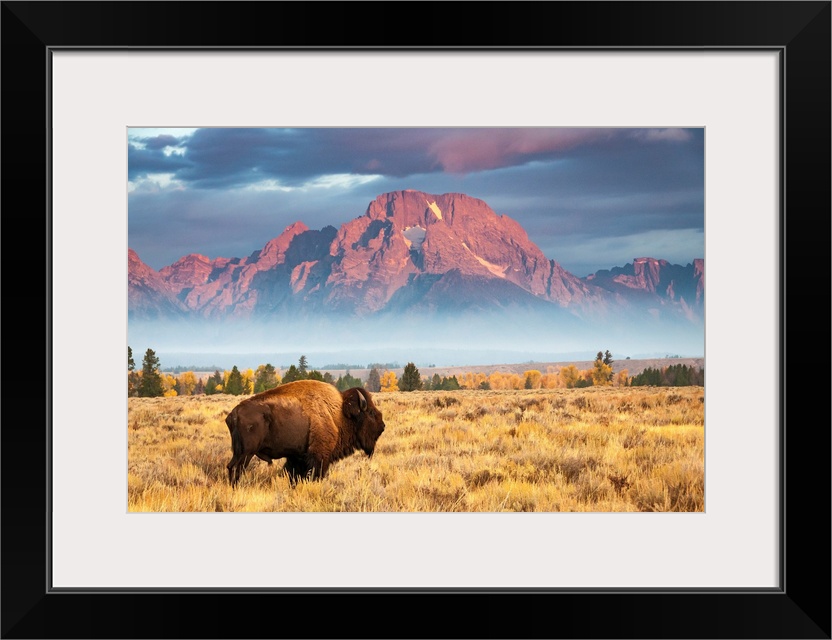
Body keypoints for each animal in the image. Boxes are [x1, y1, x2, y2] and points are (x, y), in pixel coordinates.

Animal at [224, 380, 386, 484]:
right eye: (371, 413)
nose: (382, 426)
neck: (339, 413)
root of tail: (234, 413)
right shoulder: (319, 456)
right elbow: (315, 474)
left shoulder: (298, 457)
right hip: (246, 453)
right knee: (237, 469)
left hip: (239, 452)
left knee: (231, 467)